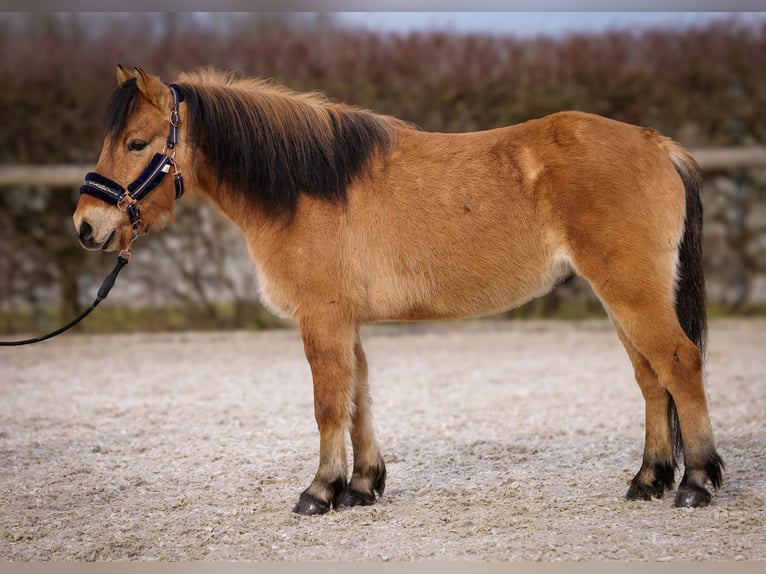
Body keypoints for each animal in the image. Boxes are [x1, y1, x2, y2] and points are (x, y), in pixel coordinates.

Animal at [72, 67, 728, 516]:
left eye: (137, 143)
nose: (86, 226)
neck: (307, 186)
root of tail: (657, 144)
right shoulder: (346, 322)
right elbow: (360, 397)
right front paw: (361, 486)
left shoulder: (322, 318)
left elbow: (329, 403)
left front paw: (319, 491)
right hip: (622, 300)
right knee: (651, 380)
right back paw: (648, 480)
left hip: (632, 295)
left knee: (680, 363)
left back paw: (695, 482)